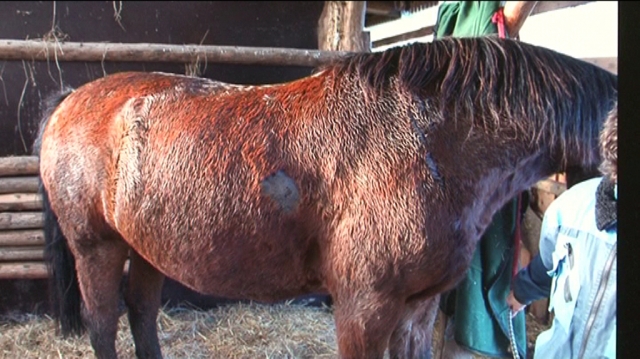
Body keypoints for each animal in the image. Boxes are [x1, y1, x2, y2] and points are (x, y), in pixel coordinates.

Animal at [33, 37, 616, 359]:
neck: (429, 141)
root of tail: (72, 98)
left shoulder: (418, 309)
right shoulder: (364, 308)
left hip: (148, 246)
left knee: (141, 313)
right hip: (96, 247)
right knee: (103, 322)